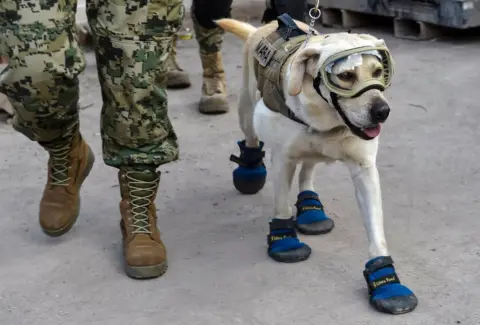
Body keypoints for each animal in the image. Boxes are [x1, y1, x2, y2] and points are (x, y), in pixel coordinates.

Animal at [217, 15, 416, 314]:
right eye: (346, 76)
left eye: (379, 70)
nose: (383, 111)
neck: (327, 120)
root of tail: (264, 26)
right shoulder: (283, 160)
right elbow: (281, 206)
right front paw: (284, 241)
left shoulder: (364, 170)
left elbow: (376, 232)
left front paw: (387, 282)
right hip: (246, 112)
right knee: (251, 139)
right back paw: (249, 171)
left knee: (308, 170)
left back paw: (311, 208)